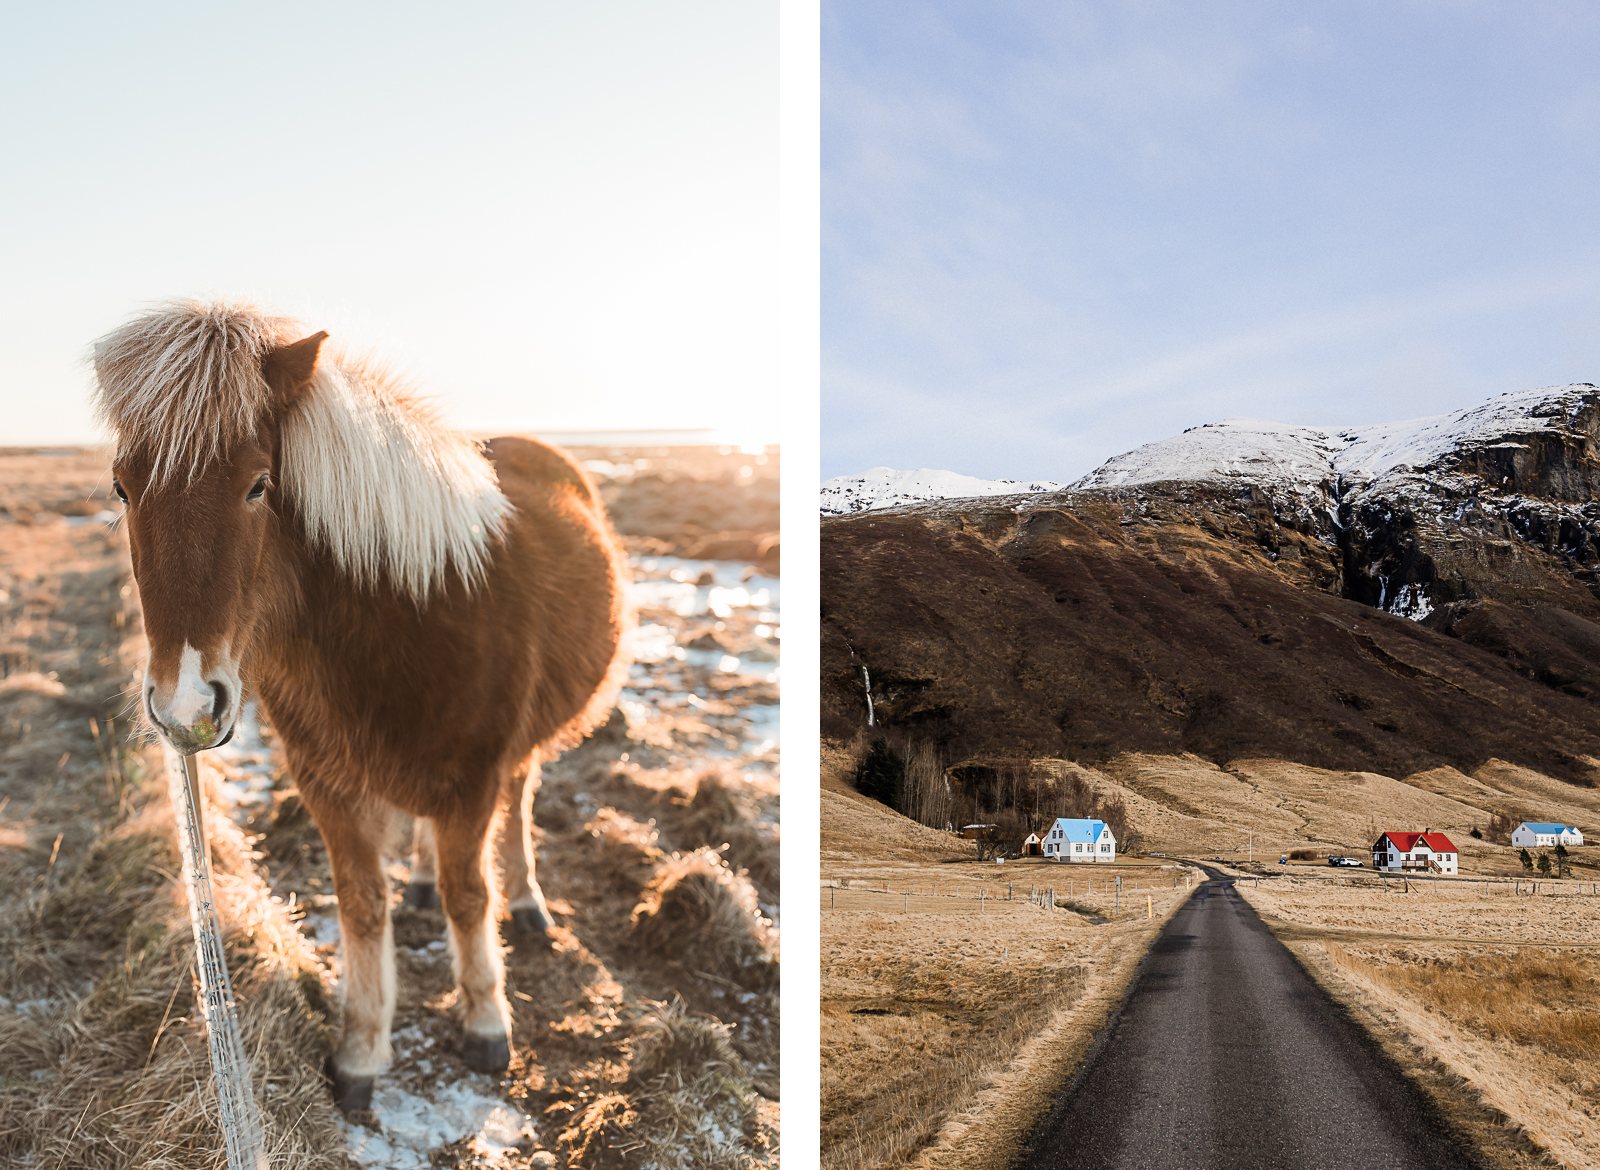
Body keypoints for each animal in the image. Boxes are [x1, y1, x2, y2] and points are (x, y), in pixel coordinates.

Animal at [86, 299, 624, 1107]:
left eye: (258, 484)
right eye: (122, 488)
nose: (186, 706)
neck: (405, 620)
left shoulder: (472, 781)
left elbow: (471, 894)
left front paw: (485, 1021)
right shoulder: (328, 785)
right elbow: (362, 906)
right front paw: (362, 1049)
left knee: (520, 797)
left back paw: (526, 901)